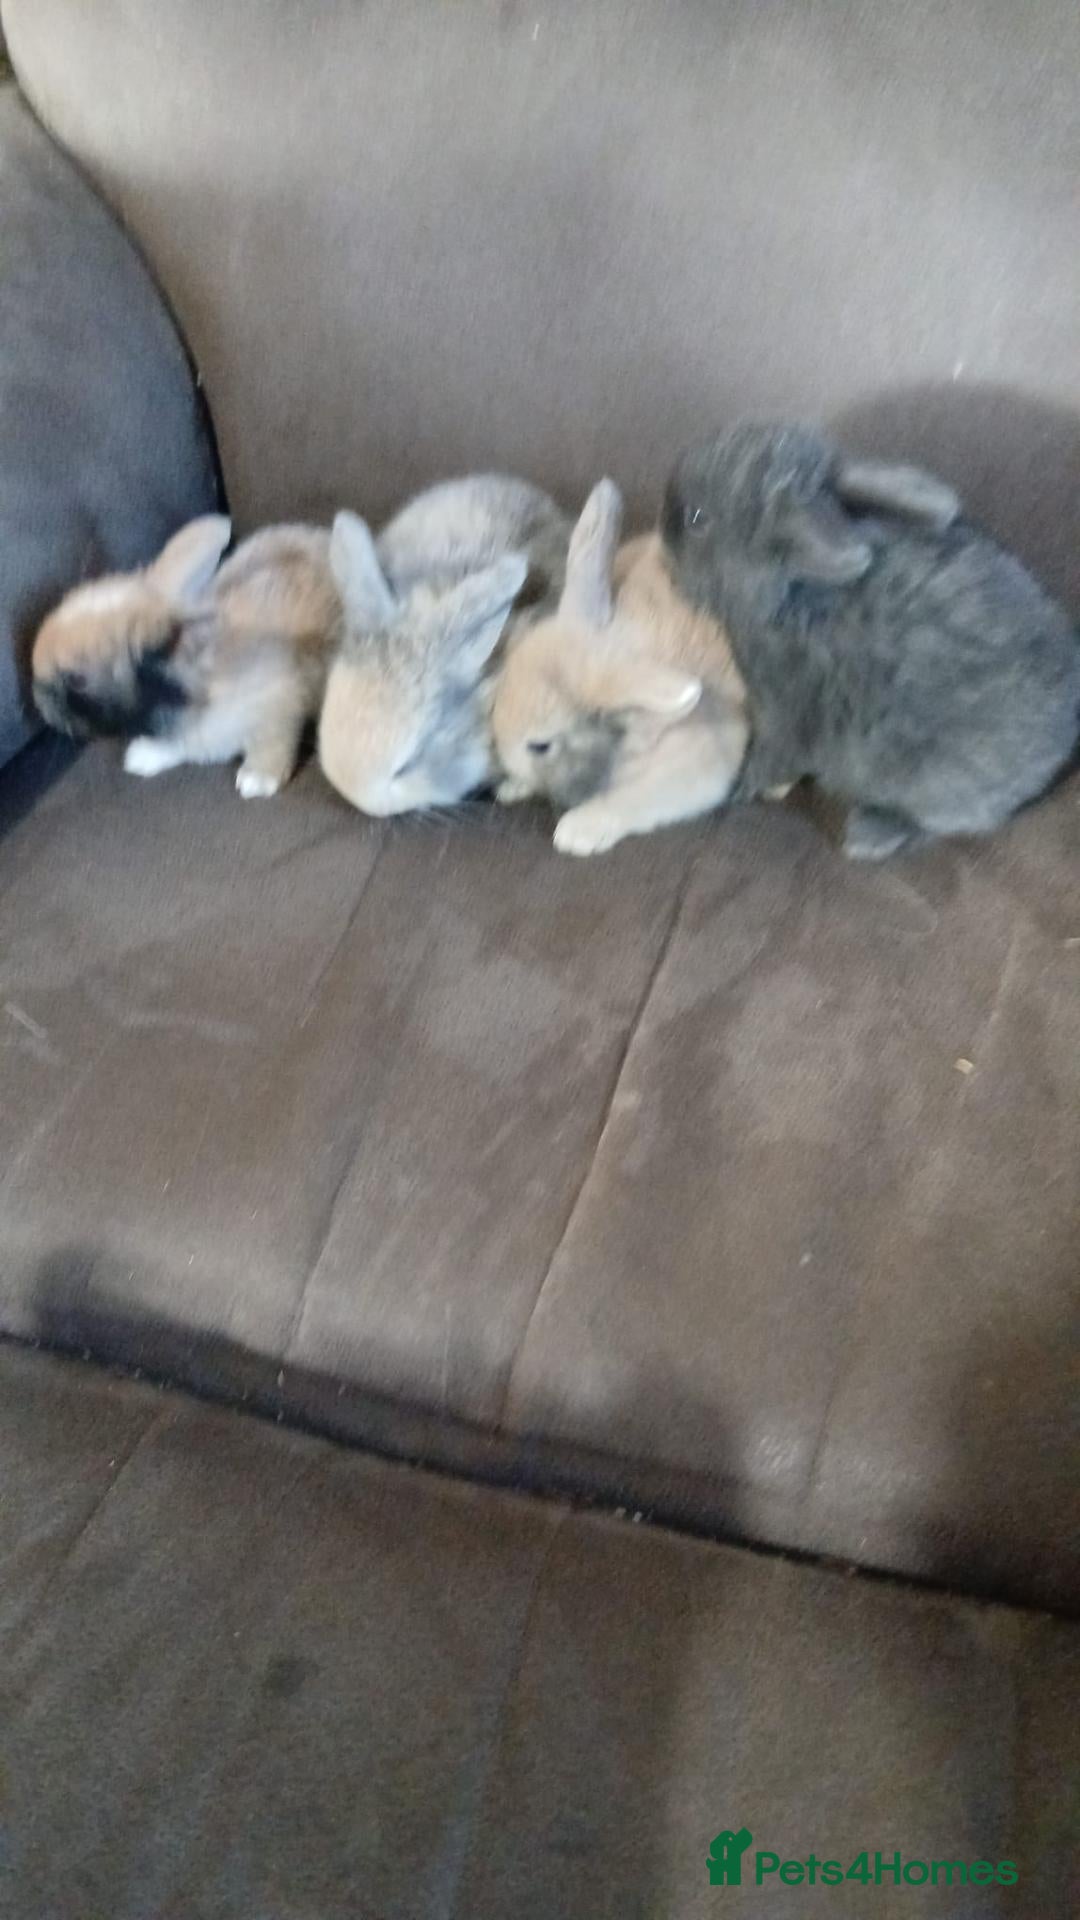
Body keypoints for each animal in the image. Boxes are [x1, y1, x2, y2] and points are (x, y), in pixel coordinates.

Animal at [32, 516, 340, 797]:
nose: (39, 701)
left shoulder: (280, 702)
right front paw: (142, 757)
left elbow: (273, 742)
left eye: (77, 680)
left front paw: (257, 780)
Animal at [662, 421, 1080, 859]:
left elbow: (772, 758)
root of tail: (1063, 746)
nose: (663, 529)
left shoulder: (788, 715)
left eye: (696, 519)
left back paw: (870, 835)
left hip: (936, 783)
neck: (792, 595)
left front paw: (737, 788)